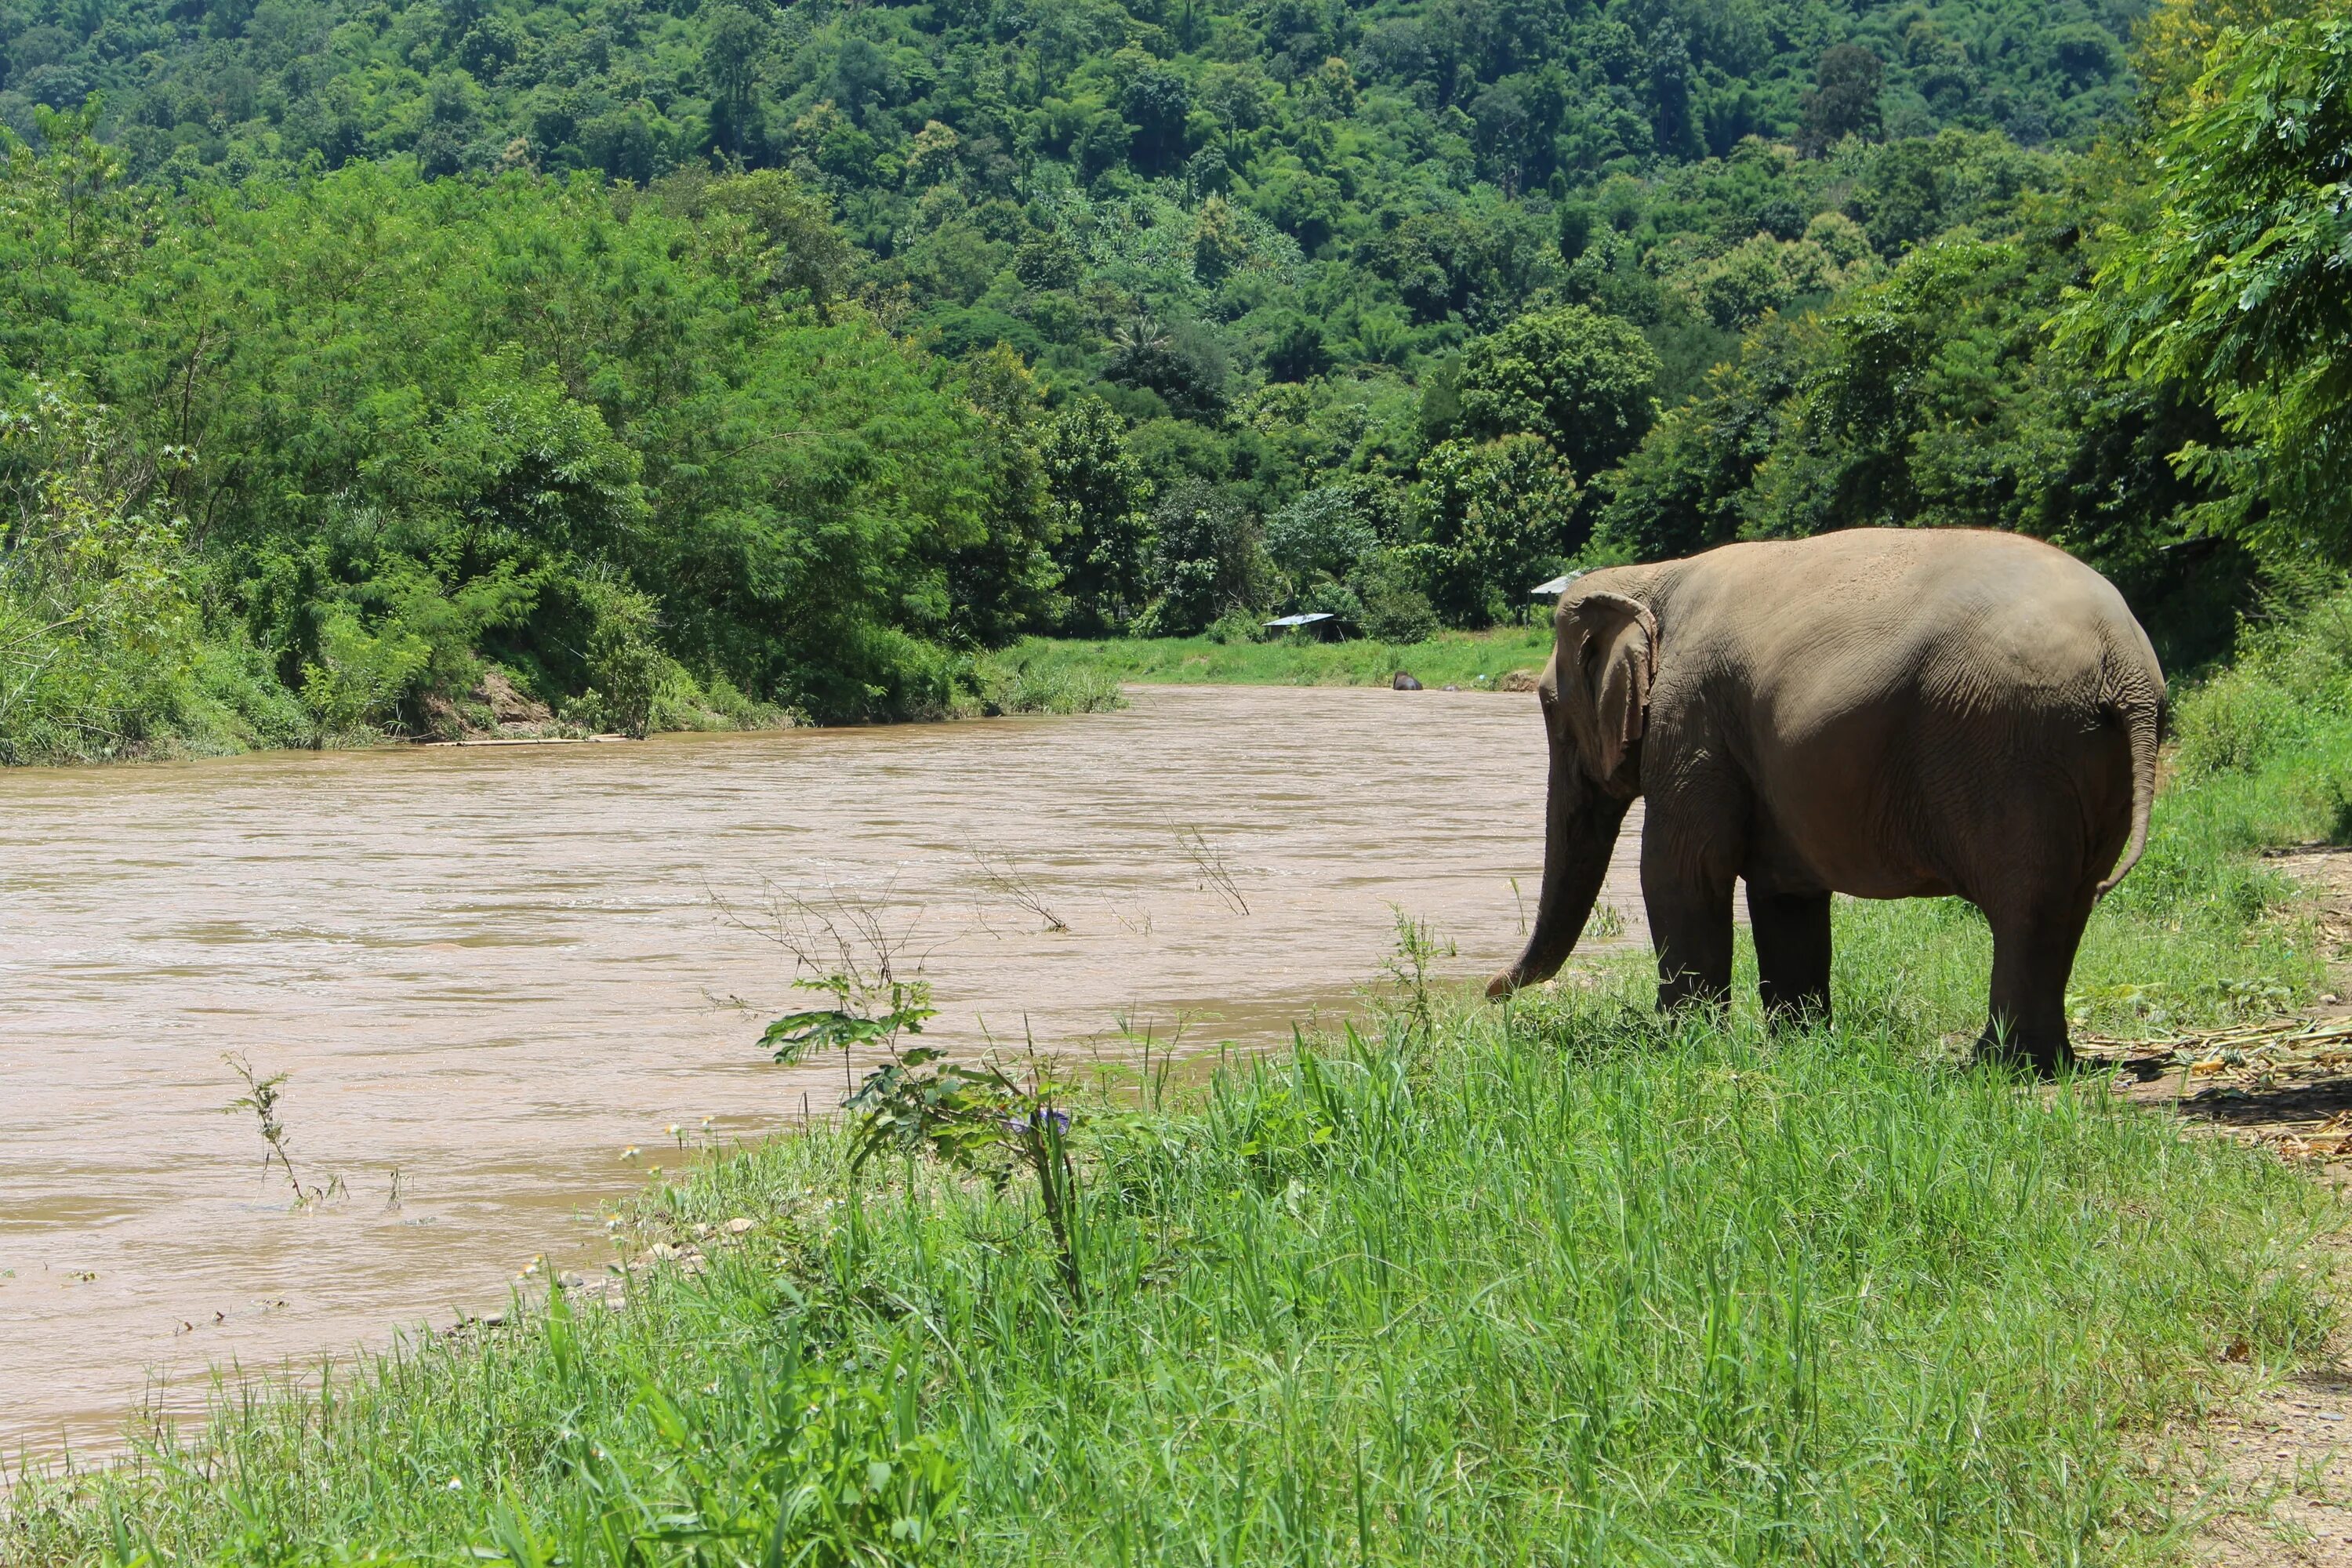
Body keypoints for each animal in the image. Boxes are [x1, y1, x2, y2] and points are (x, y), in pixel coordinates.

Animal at [1486, 531, 2164, 1081]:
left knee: (2028, 904)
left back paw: (1997, 1066)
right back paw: (2044, 1064)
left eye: (1548, 707)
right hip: (2084, 759)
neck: (1653, 574)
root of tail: (2125, 661)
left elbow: (1679, 871)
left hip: (2014, 750)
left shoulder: (1691, 721)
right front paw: (1800, 1042)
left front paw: (1680, 1042)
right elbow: (1785, 893)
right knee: (2069, 905)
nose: (1491, 993)